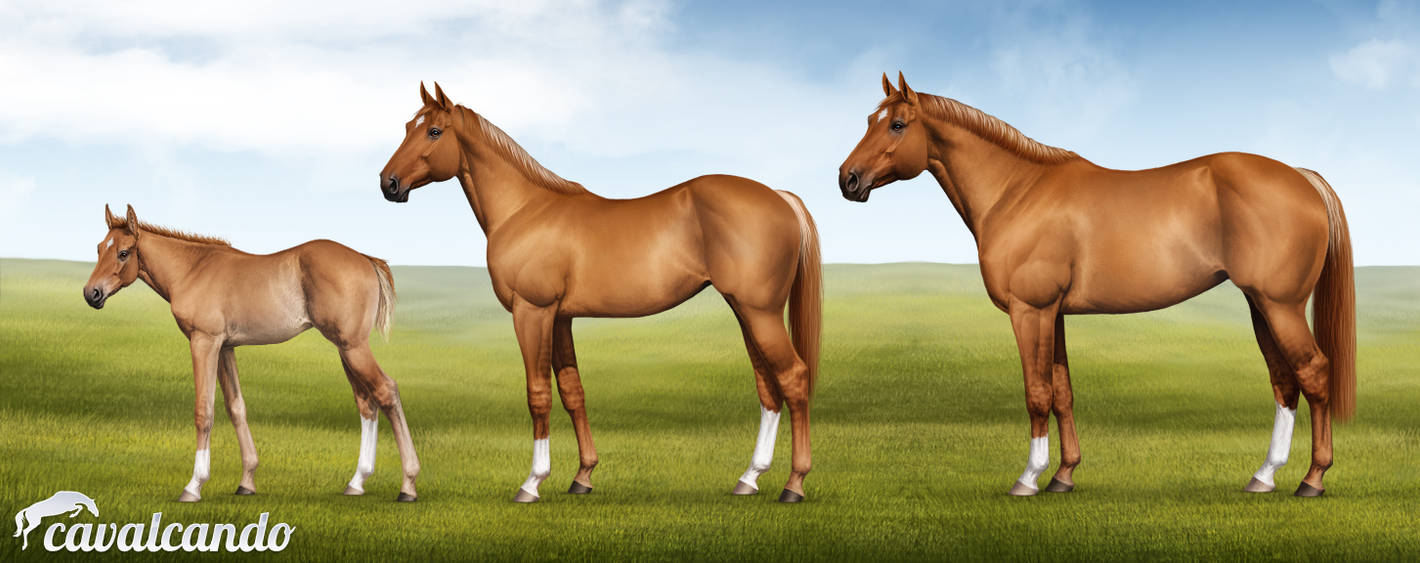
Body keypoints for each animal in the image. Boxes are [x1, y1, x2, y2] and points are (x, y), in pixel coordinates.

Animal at [83, 205, 421, 502]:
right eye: (99, 248)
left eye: (123, 252)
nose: (91, 294)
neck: (192, 269)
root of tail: (366, 259)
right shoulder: (226, 348)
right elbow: (236, 408)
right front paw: (246, 482)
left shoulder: (204, 343)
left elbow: (204, 411)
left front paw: (194, 486)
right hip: (345, 348)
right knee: (366, 402)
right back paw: (357, 482)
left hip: (353, 347)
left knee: (386, 391)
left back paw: (407, 485)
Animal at [377, 83, 821, 503]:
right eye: (407, 126)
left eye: (434, 131)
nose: (388, 183)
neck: (525, 210)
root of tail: (780, 197)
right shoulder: (560, 318)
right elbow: (573, 392)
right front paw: (583, 477)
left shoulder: (532, 311)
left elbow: (538, 394)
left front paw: (532, 482)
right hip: (745, 310)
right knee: (768, 387)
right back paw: (749, 478)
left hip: (759, 312)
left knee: (794, 378)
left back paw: (793, 484)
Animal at [838, 73, 1355, 497]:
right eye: (869, 120)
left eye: (897, 125)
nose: (848, 179)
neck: (1017, 192)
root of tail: (1301, 178)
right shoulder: (1054, 314)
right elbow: (1062, 391)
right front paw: (1063, 476)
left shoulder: (1031, 310)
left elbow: (1036, 393)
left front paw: (1028, 478)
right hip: (1259, 304)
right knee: (1284, 381)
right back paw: (1264, 476)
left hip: (1281, 305)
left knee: (1313, 373)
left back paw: (1312, 480)